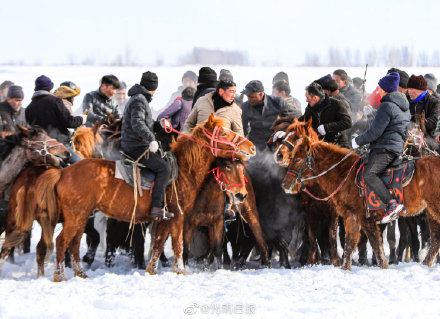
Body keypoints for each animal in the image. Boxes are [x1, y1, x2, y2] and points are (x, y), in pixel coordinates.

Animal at [36, 115, 256, 282]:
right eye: (224, 133)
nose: (252, 147)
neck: (184, 171)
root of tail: (63, 172)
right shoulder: (178, 216)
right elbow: (178, 245)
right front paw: (180, 270)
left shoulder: (165, 220)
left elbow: (158, 243)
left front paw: (153, 270)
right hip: (75, 216)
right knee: (62, 241)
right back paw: (59, 276)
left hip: (81, 216)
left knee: (73, 244)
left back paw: (80, 273)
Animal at [280, 134, 440, 272]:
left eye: (298, 159)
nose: (285, 184)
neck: (346, 174)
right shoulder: (352, 216)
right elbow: (350, 243)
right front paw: (345, 268)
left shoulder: (364, 217)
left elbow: (375, 243)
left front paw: (382, 265)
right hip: (431, 212)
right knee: (435, 239)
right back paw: (425, 264)